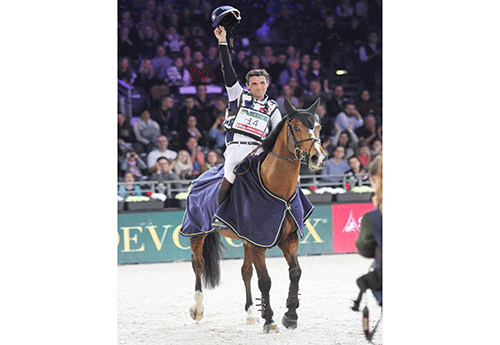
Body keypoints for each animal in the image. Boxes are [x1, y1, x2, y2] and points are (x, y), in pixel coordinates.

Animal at [186, 96, 326, 330]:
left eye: (318, 127)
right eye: (297, 128)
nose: (318, 158)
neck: (275, 186)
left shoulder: (285, 238)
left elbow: (295, 273)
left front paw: (290, 315)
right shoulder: (258, 243)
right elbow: (265, 280)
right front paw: (269, 320)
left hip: (245, 239)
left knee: (245, 272)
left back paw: (251, 312)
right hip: (197, 232)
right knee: (198, 263)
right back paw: (197, 308)